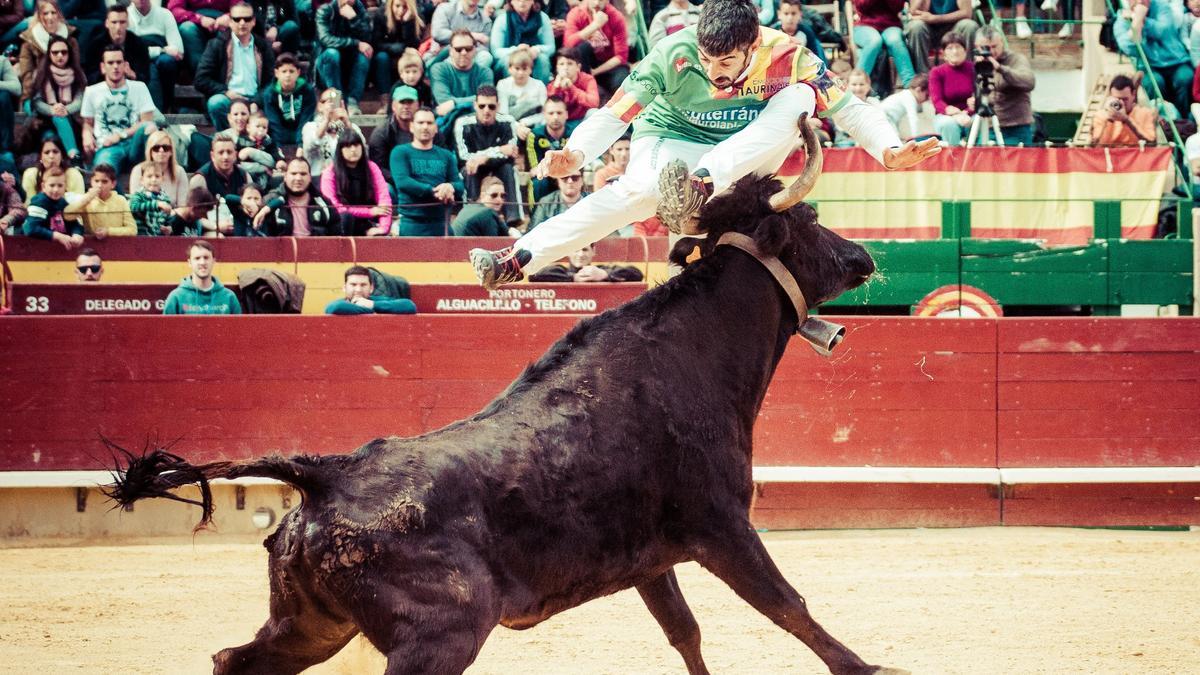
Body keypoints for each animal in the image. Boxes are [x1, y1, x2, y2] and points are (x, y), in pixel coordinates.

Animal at [108, 174, 902, 672]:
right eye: (808, 220)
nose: (865, 256)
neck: (694, 350)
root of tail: (323, 475)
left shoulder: (651, 559)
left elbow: (687, 634)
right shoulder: (722, 527)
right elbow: (790, 608)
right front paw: (871, 666)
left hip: (310, 624)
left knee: (233, 660)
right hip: (441, 635)